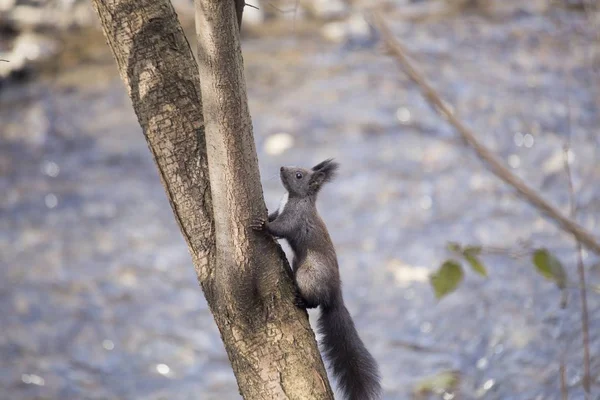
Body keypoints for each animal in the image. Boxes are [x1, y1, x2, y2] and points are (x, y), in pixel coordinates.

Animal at [251, 159, 382, 400]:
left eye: (299, 175)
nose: (282, 168)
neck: (294, 197)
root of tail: (335, 296)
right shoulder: (281, 208)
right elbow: (274, 214)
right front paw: (266, 216)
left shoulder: (295, 218)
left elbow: (280, 227)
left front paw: (263, 226)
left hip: (309, 274)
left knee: (315, 301)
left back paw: (302, 301)